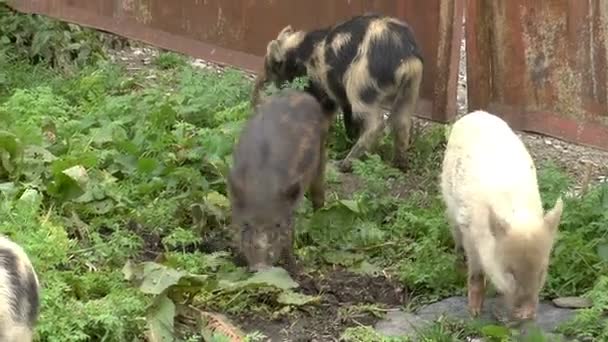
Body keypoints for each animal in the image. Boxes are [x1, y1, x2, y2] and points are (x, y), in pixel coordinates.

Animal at [228, 88, 334, 272]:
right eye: (246, 224)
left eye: (277, 224)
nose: (261, 266)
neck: (262, 186)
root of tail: (300, 94)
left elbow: (289, 238)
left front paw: (296, 270)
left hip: (322, 153)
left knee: (318, 195)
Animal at [251, 13, 422, 172]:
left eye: (269, 73)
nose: (254, 105)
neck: (303, 55)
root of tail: (406, 60)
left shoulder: (331, 91)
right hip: (409, 90)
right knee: (402, 122)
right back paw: (399, 164)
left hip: (360, 87)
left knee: (376, 123)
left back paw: (343, 164)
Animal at [440, 110, 564, 324]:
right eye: (510, 273)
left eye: (541, 273)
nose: (526, 314)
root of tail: (475, 113)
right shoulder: (470, 233)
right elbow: (476, 274)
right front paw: (474, 313)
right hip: (449, 200)